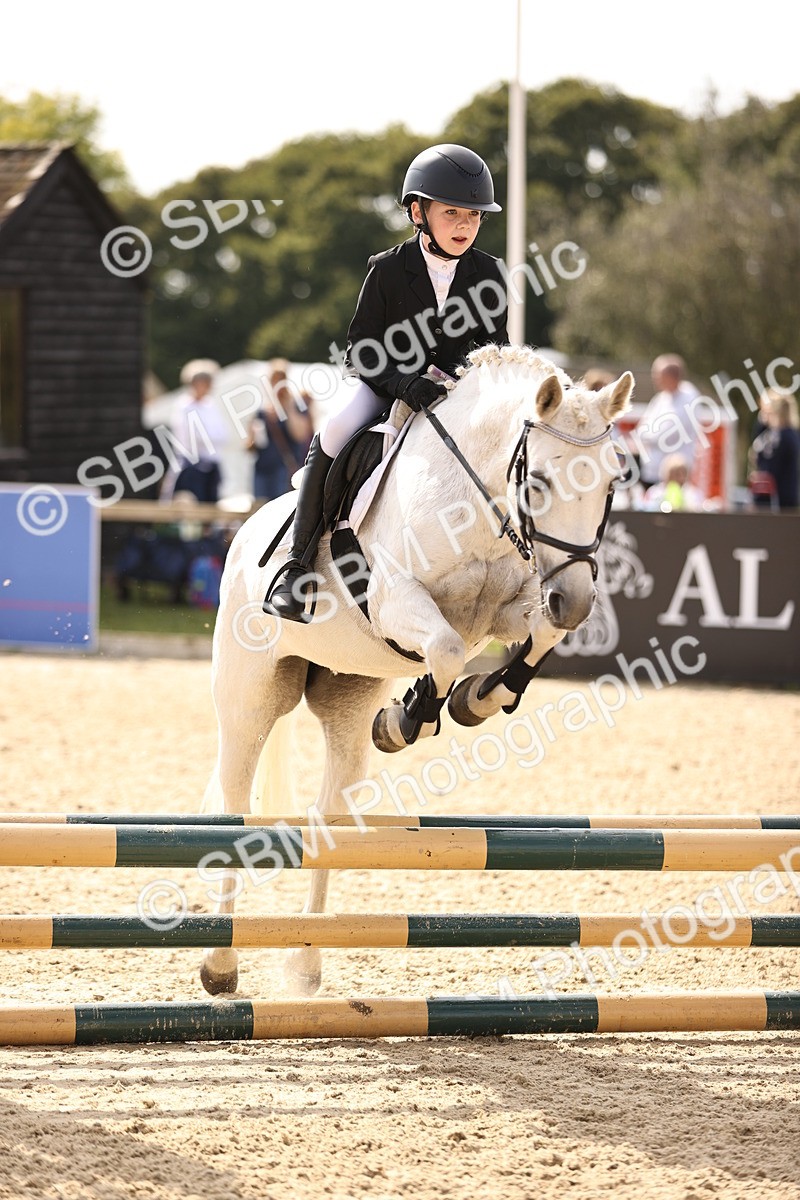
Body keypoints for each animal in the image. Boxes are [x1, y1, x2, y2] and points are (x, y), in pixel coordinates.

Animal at [200, 344, 633, 996]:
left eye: (609, 483)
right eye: (540, 481)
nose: (578, 599)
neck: (476, 499)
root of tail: (245, 529)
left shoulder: (517, 603)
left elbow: (532, 636)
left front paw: (476, 698)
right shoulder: (395, 600)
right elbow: (447, 649)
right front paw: (412, 719)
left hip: (346, 697)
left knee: (327, 820)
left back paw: (305, 965)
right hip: (250, 696)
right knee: (234, 802)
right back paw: (220, 965)